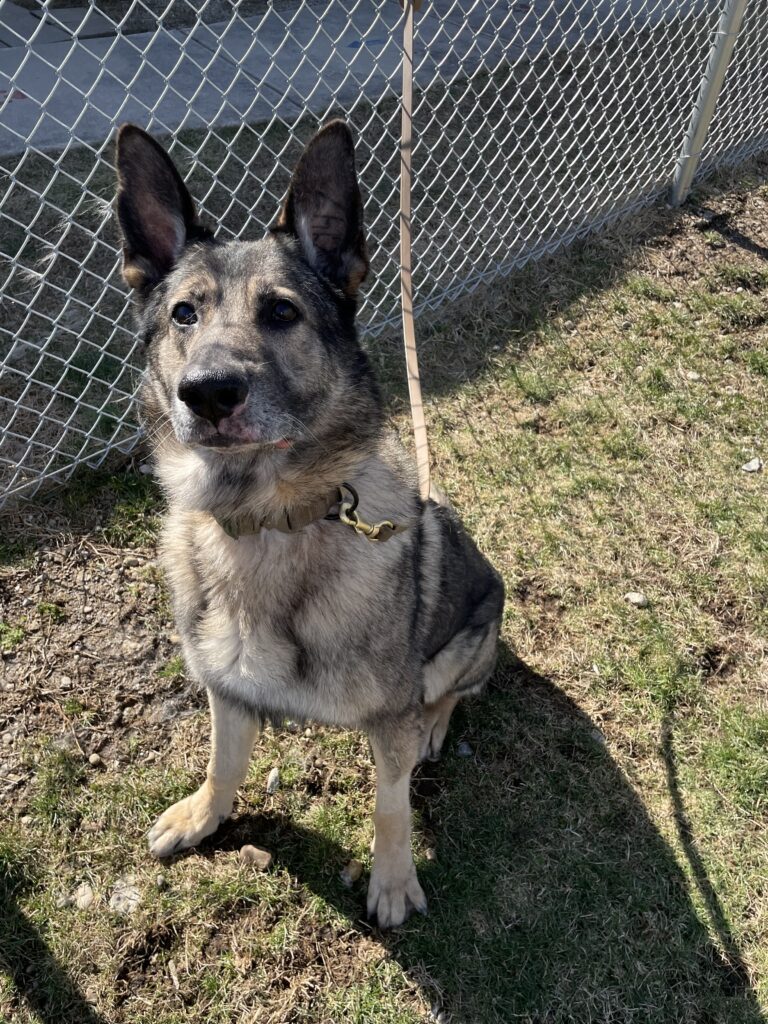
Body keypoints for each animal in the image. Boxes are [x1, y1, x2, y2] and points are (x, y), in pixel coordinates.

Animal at [114, 120, 504, 928]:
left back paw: (437, 723)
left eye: (282, 312)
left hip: (472, 633)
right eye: (184, 314)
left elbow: (391, 806)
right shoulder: (225, 694)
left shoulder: (387, 720)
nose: (208, 393)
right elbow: (222, 762)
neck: (266, 523)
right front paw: (204, 815)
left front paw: (393, 879)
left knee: (451, 691)